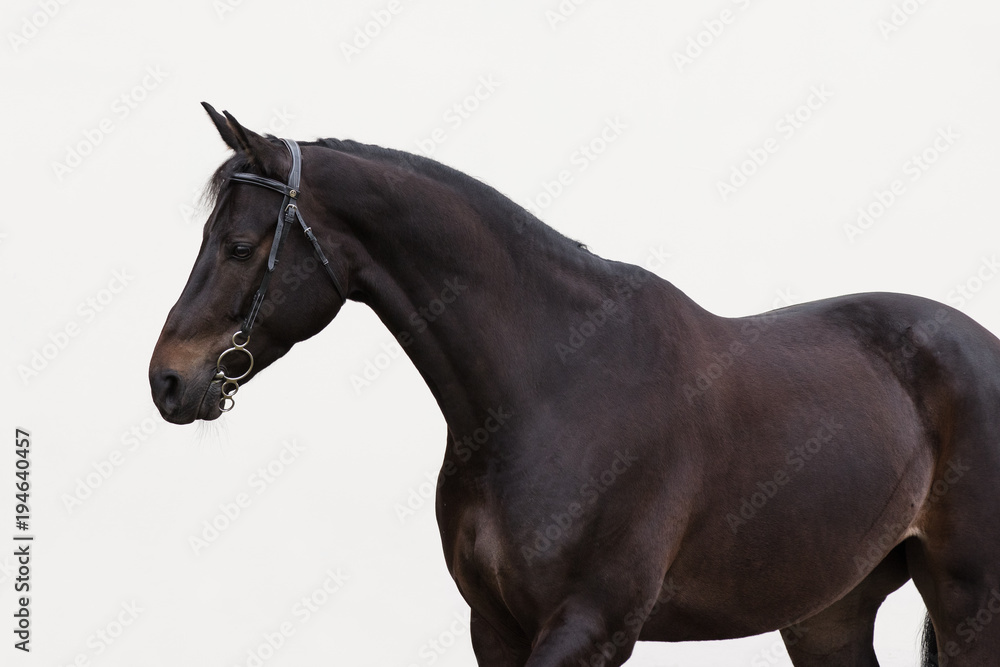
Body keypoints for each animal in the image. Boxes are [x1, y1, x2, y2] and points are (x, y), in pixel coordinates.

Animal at [149, 103, 1000, 666]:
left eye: (238, 244)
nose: (167, 380)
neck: (550, 388)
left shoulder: (589, 624)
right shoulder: (493, 626)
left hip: (969, 601)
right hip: (829, 613)